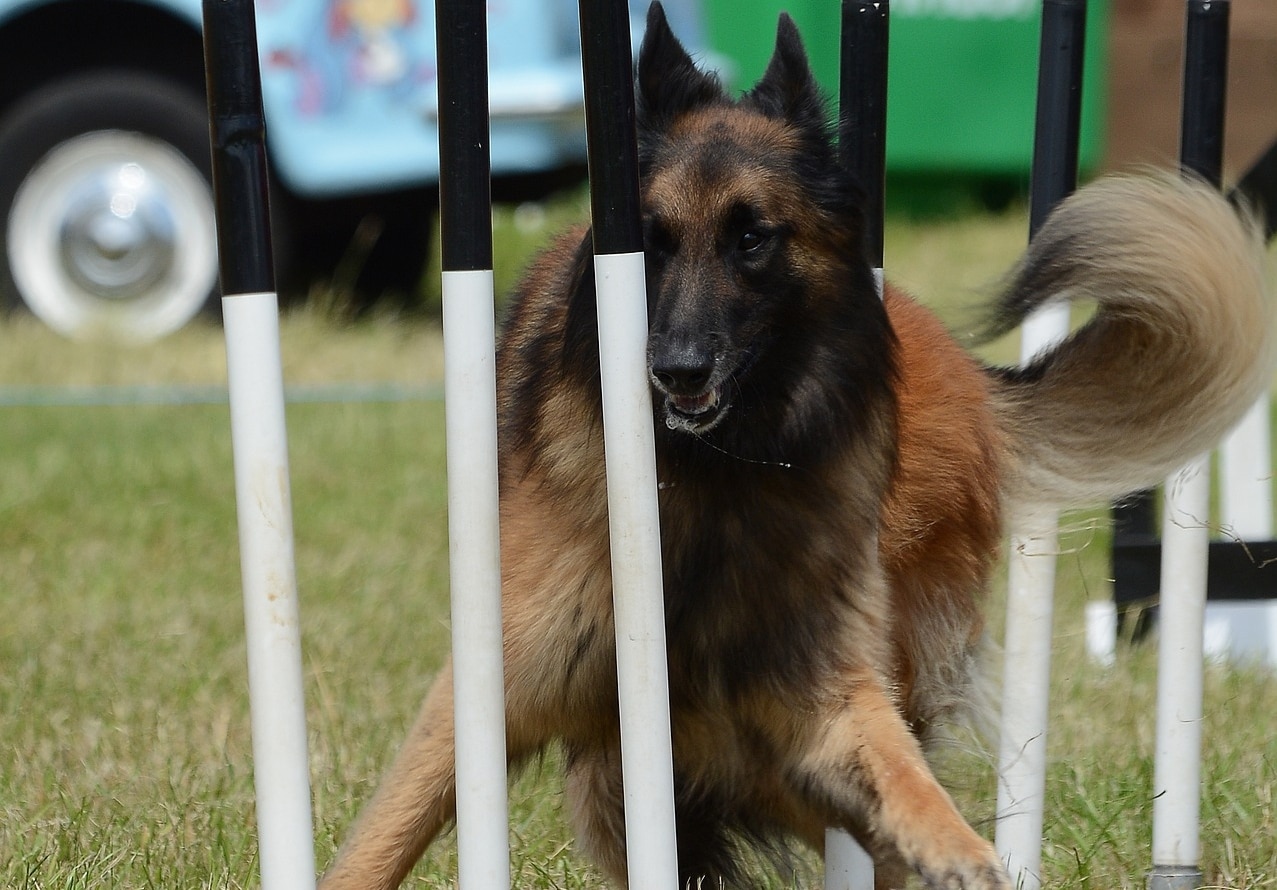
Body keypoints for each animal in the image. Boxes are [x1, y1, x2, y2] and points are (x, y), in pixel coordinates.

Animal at [316, 8, 1266, 888]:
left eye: (752, 238)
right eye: (650, 243)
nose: (675, 369)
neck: (718, 476)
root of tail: (968, 378)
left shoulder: (823, 694)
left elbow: (903, 774)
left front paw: (962, 848)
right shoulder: (493, 692)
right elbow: (380, 843)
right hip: (633, 785)